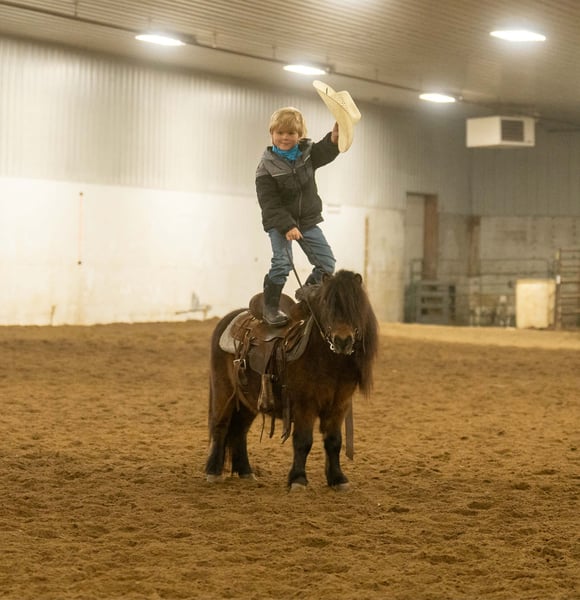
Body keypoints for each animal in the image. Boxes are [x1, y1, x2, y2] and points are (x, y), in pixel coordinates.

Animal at [204, 270, 379, 490]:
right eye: (326, 303)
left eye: (356, 304)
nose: (342, 340)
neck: (328, 360)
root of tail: (228, 319)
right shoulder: (305, 404)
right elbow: (303, 441)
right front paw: (298, 479)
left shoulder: (339, 405)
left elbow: (334, 441)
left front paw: (338, 479)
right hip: (224, 392)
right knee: (220, 426)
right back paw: (213, 472)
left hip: (248, 401)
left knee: (239, 431)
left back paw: (245, 471)